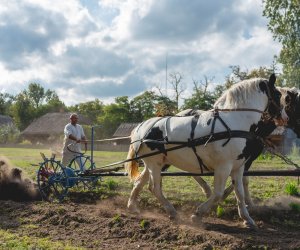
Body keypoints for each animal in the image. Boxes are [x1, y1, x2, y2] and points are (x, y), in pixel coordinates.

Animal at [125, 73, 284, 228]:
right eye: (278, 94)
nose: (284, 117)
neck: (234, 121)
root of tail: (140, 128)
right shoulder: (223, 167)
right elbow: (218, 193)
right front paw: (197, 214)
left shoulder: (238, 167)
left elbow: (239, 192)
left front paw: (247, 218)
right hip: (155, 163)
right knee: (154, 188)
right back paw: (172, 211)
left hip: (155, 163)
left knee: (140, 182)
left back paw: (133, 206)